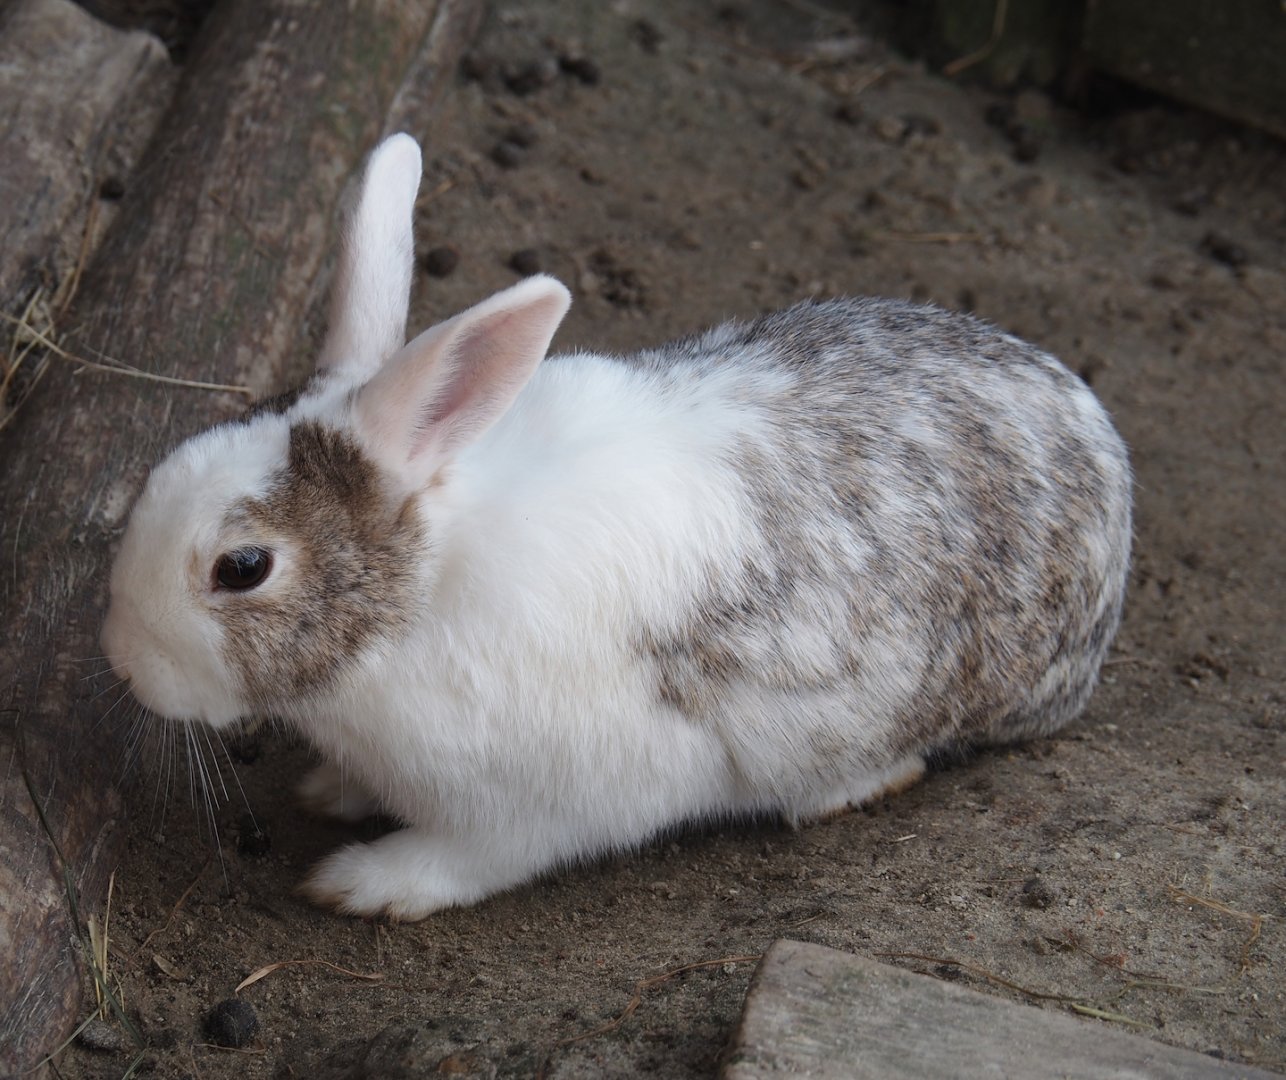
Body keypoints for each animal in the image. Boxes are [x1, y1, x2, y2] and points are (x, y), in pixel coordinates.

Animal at [101, 133, 1132, 920]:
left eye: (242, 566)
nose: (121, 661)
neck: (418, 598)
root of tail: (1098, 442)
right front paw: (330, 792)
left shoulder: (540, 800)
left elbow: (471, 857)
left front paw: (363, 883)